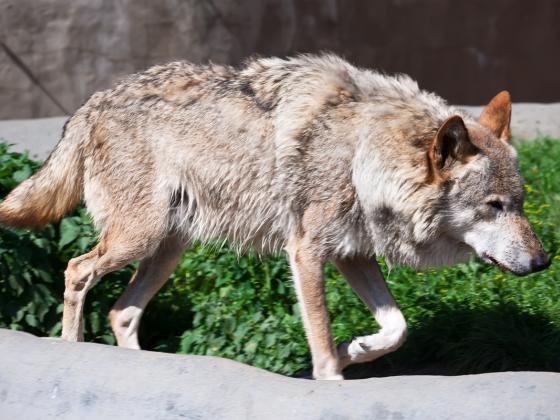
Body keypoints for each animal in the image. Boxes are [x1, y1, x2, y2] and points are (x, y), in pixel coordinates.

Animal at [0, 54, 552, 378]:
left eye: (521, 203)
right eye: (493, 207)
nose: (544, 262)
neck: (363, 156)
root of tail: (91, 103)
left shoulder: (353, 255)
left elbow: (398, 328)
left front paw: (357, 347)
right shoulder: (305, 252)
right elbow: (322, 343)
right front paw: (335, 370)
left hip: (167, 249)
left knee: (122, 311)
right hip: (138, 239)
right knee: (76, 271)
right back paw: (74, 350)